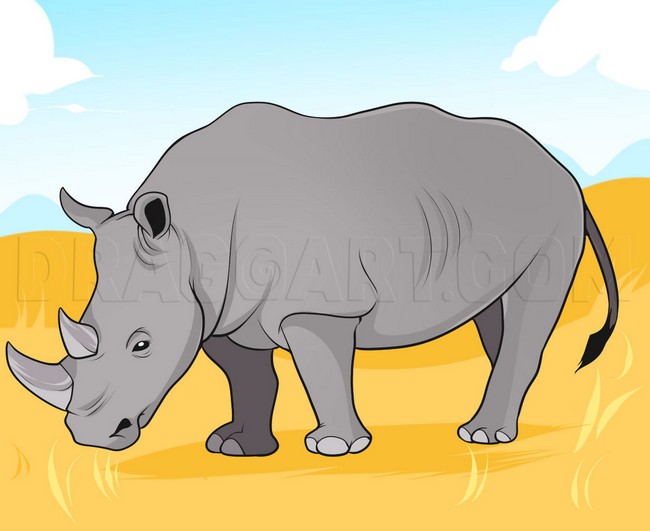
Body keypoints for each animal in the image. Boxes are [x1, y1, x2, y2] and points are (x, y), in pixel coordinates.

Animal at [6, 102, 618, 456]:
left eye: (142, 344)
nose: (90, 438)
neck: (190, 235)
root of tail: (560, 168)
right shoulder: (219, 310)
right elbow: (249, 377)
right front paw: (235, 447)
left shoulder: (318, 304)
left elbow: (320, 371)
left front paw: (334, 448)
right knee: (496, 311)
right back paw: (499, 427)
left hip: (554, 210)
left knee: (528, 305)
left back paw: (483, 436)